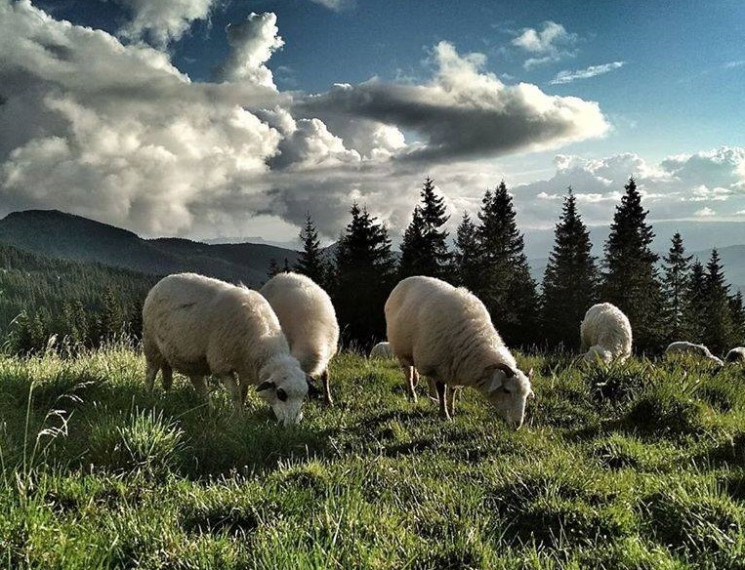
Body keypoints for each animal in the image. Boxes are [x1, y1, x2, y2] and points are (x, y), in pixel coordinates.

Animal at [142, 272, 308, 424]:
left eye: (303, 397)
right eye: (281, 394)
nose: (292, 425)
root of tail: (163, 281)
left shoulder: (245, 366)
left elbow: (242, 392)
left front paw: (240, 414)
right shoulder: (221, 365)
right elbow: (234, 393)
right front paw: (237, 418)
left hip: (176, 353)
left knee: (176, 377)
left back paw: (182, 400)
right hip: (151, 343)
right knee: (151, 372)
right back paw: (149, 395)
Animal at [384, 274, 536, 426]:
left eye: (526, 395)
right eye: (506, 390)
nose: (517, 424)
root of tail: (406, 280)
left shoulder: (453, 364)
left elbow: (452, 390)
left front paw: (451, 410)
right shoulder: (439, 365)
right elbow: (442, 389)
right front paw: (444, 415)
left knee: (427, 379)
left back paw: (432, 398)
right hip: (404, 351)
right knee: (409, 375)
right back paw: (413, 397)